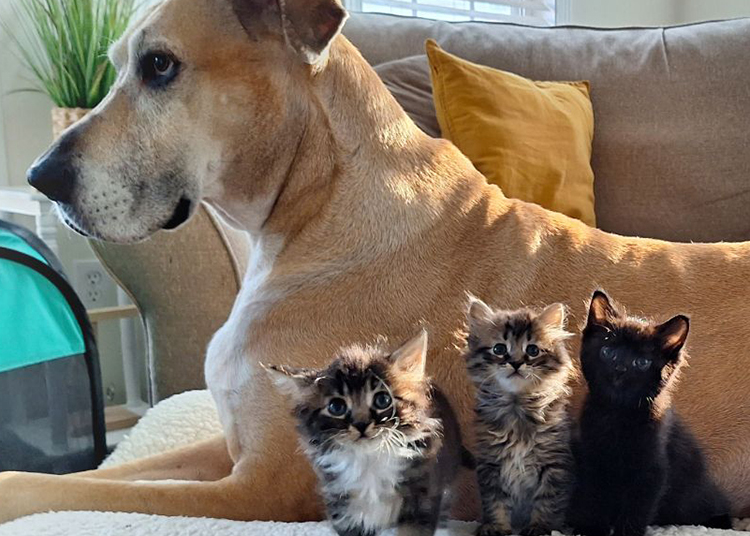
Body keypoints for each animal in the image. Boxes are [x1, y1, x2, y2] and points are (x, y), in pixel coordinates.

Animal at [264, 330, 470, 536]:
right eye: (336, 407)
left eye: (382, 400)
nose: (361, 424)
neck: (369, 460)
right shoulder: (342, 506)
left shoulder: (422, 495)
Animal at [468, 298, 580, 536]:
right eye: (499, 349)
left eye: (533, 350)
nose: (516, 363)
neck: (517, 407)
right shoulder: (490, 463)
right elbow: (495, 502)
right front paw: (496, 526)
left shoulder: (555, 464)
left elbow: (547, 501)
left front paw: (540, 527)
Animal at [572, 292, 732, 536]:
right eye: (608, 352)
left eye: (641, 362)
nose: (620, 369)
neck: (617, 414)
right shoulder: (592, 457)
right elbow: (593, 497)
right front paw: (591, 529)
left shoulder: (653, 468)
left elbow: (637, 506)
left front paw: (627, 532)